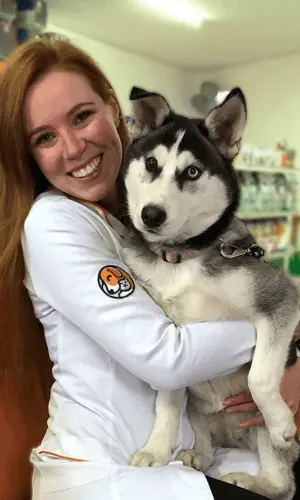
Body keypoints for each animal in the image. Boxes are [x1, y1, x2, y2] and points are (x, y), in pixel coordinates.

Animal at [122, 87, 300, 500]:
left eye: (191, 172)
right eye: (151, 163)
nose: (150, 214)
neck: (180, 258)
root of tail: (235, 439)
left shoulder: (280, 299)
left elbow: (259, 377)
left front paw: (281, 421)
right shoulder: (169, 345)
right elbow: (168, 402)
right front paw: (157, 449)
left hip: (262, 439)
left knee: (283, 485)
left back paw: (251, 477)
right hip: (201, 409)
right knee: (202, 432)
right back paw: (199, 455)